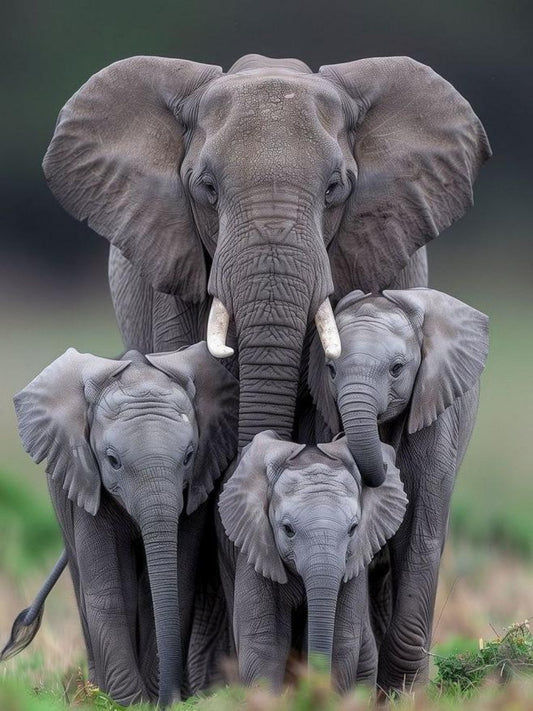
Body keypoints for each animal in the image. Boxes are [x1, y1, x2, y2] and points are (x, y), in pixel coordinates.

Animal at [10, 342, 238, 707]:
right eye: (113, 460)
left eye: (189, 456)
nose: (171, 699)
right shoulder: (86, 480)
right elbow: (107, 593)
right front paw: (126, 703)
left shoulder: (197, 488)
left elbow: (174, 584)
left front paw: (147, 698)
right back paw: (94, 688)